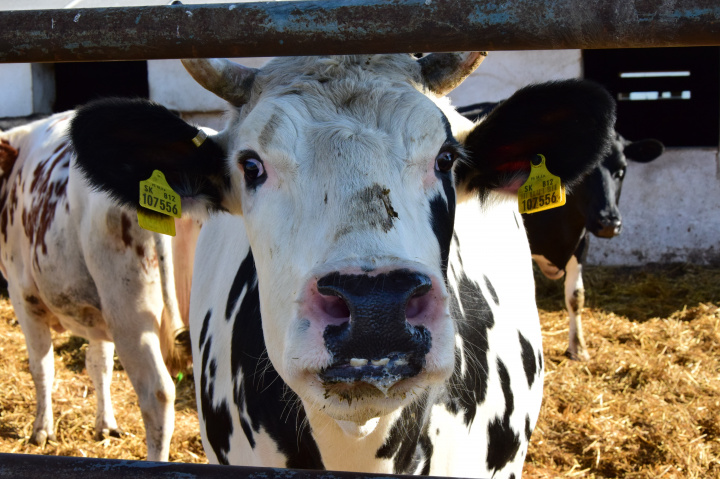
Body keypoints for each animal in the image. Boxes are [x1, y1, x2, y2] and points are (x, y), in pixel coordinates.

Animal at [462, 104, 664, 360]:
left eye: (622, 170)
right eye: (586, 172)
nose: (609, 223)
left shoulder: (582, 239)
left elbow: (576, 296)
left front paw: (578, 347)